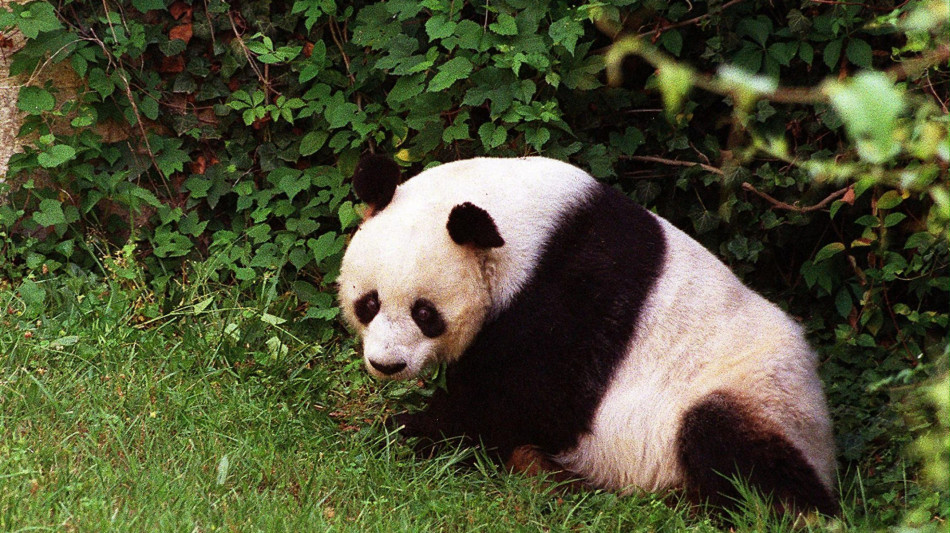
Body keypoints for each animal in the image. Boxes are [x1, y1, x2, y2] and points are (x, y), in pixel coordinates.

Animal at [337, 154, 837, 515]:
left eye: (425, 313)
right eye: (370, 303)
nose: (387, 364)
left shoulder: (569, 298)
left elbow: (521, 398)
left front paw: (403, 431)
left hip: (759, 393)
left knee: (727, 441)